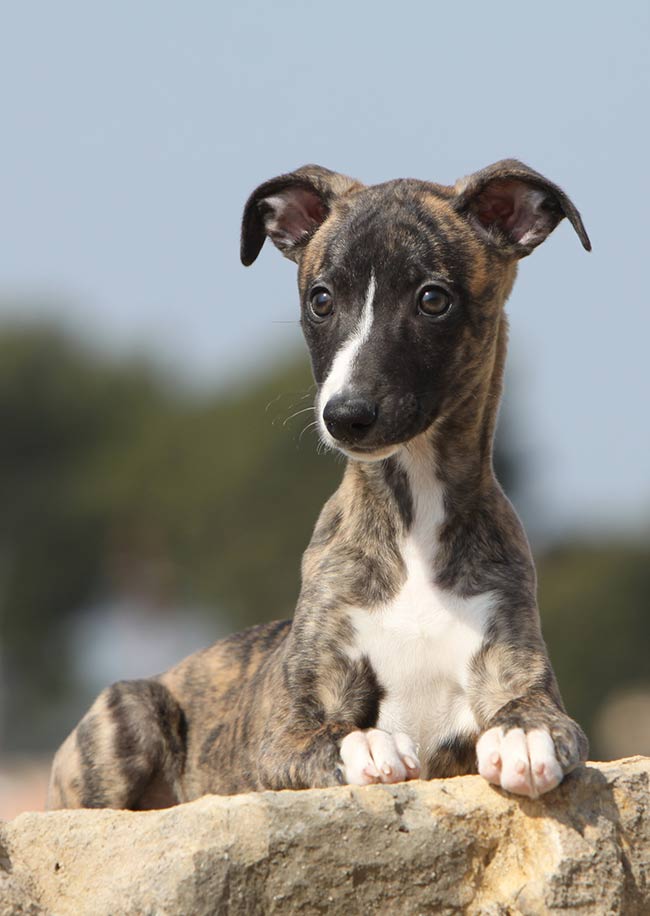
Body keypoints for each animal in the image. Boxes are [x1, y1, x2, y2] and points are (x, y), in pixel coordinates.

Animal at [49, 159, 588, 808]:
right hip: (129, 710)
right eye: (321, 299)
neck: (414, 520)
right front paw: (370, 746)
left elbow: (541, 714)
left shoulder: (513, 664)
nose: (346, 415)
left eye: (433, 298)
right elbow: (326, 734)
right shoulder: (286, 725)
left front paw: (525, 738)